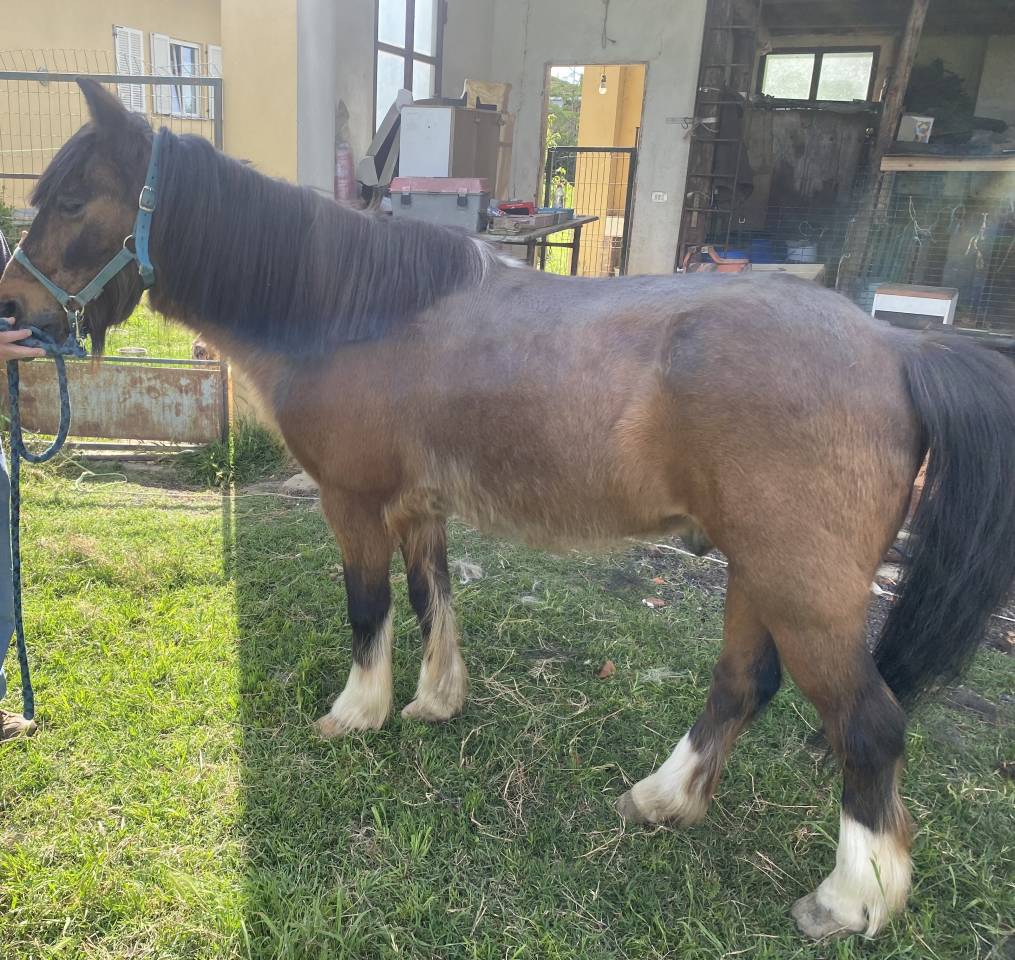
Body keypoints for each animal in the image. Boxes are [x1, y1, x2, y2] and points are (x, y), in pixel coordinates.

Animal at [2, 78, 1014, 941]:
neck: (351, 312)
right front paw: (434, 701)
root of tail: (896, 353)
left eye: (71, 201)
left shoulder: (354, 502)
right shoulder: (420, 506)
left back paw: (849, 900)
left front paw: (357, 713)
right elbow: (431, 601)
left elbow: (368, 608)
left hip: (804, 589)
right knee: (740, 685)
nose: (13, 310)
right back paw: (661, 800)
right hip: (758, 573)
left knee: (867, 725)